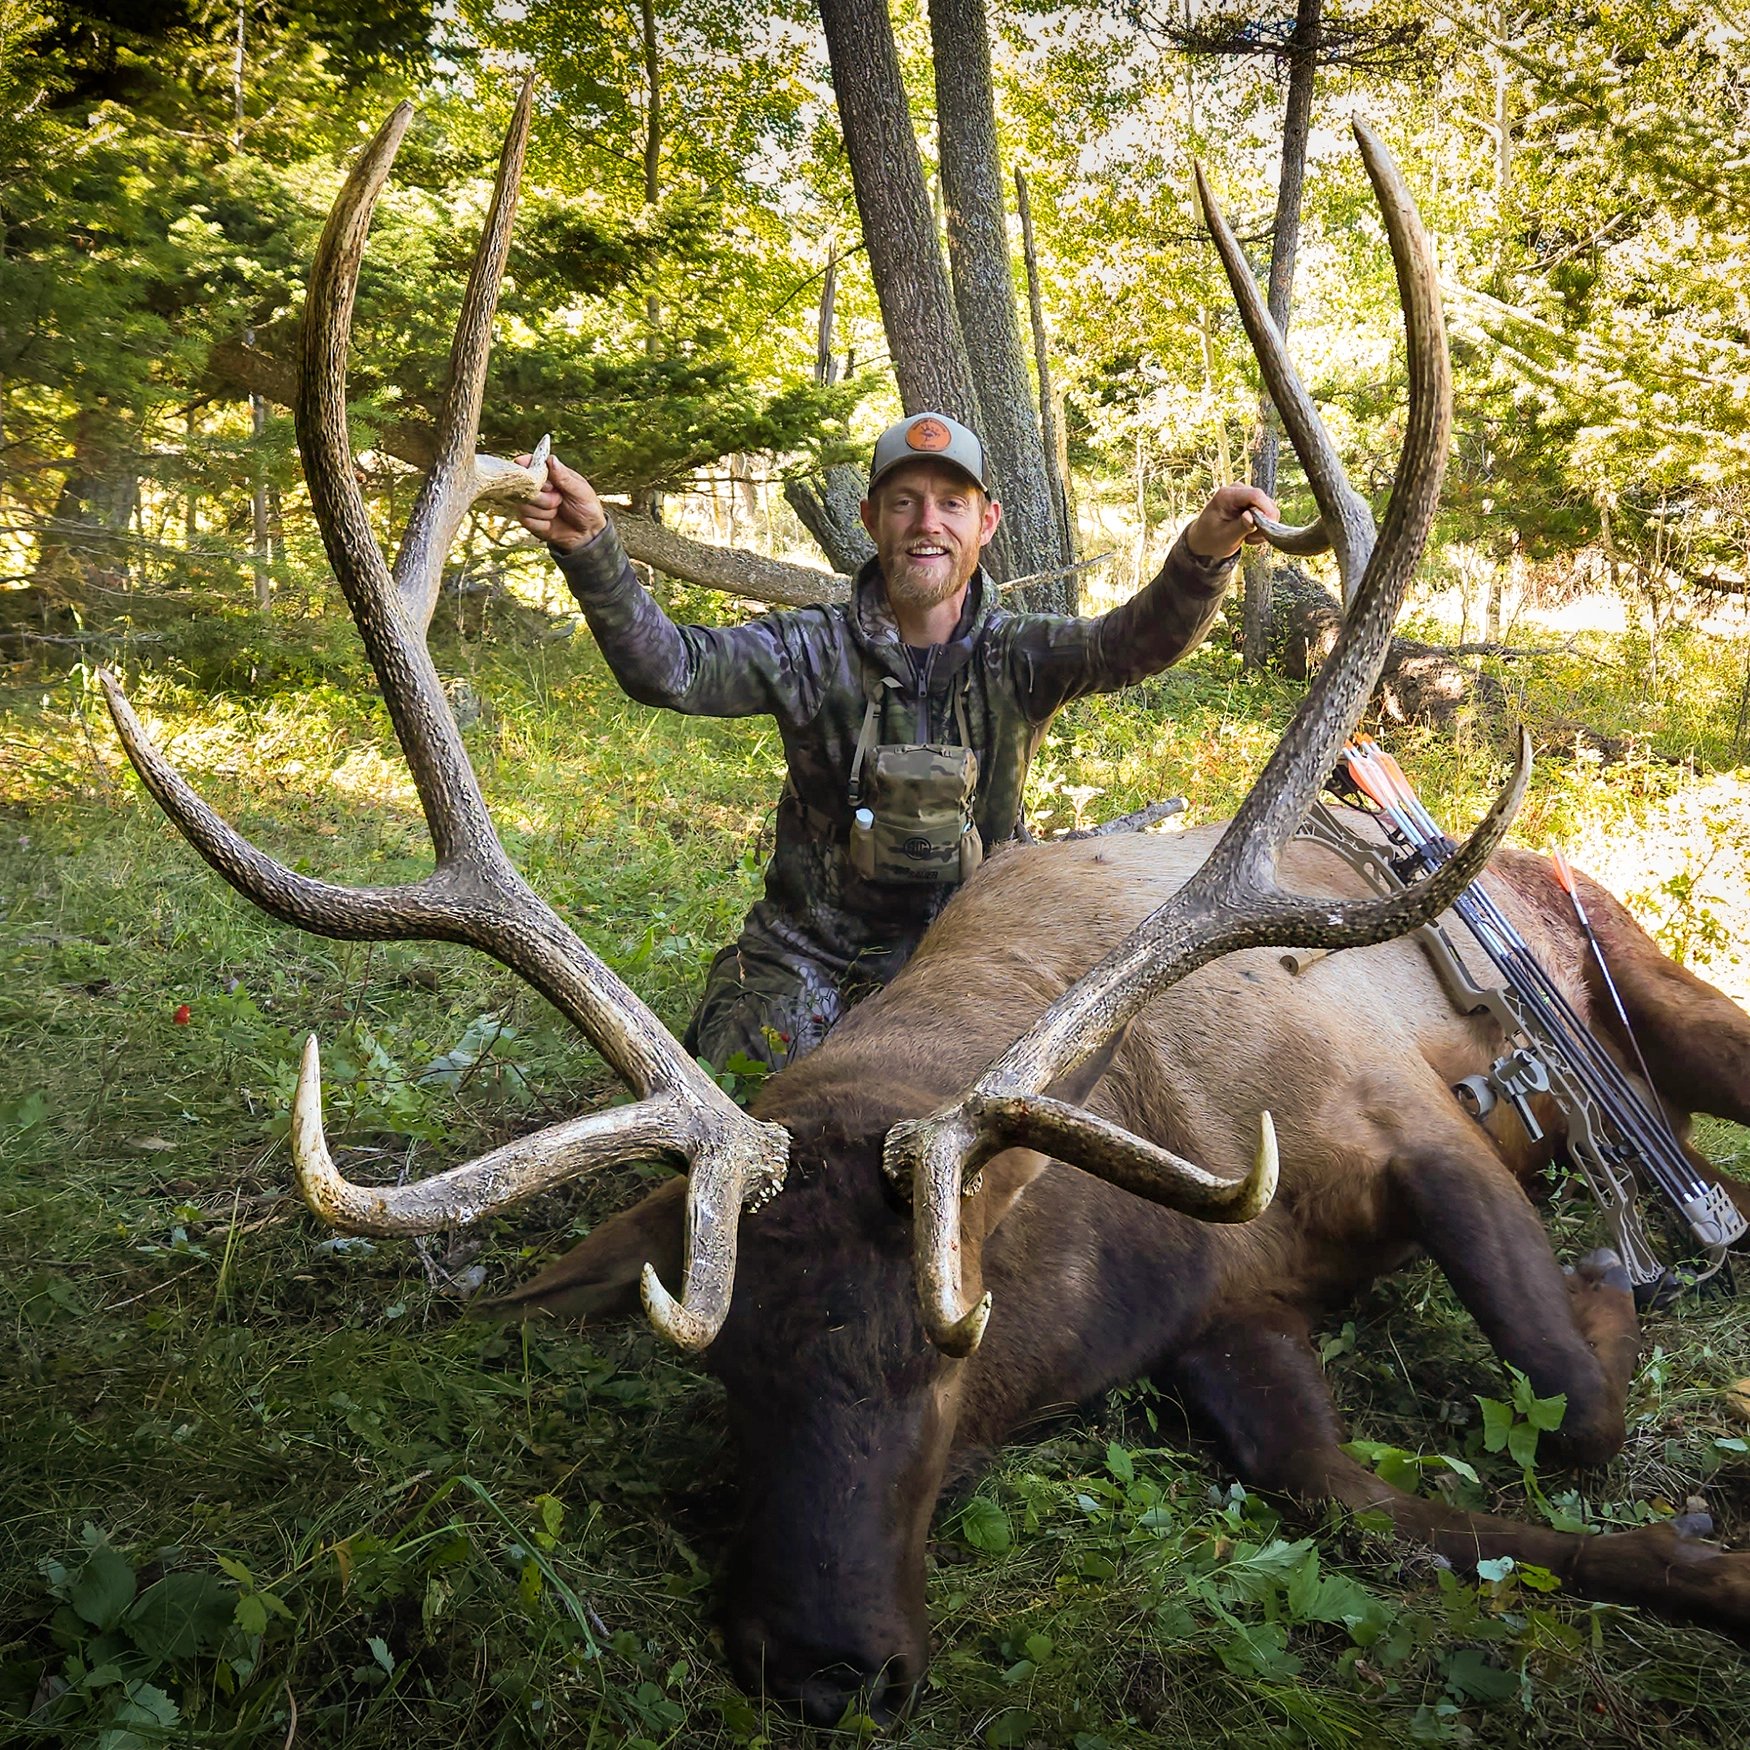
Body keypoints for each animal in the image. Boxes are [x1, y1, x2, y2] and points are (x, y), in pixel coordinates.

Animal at [100, 85, 1750, 1725]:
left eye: (947, 1357)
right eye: (724, 1370)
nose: (827, 1667)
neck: (1150, 1169)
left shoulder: (1408, 1118)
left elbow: (1571, 1395)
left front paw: (1617, 1308)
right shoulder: (1234, 1322)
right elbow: (1371, 1500)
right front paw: (1689, 1551)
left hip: (1655, 978)